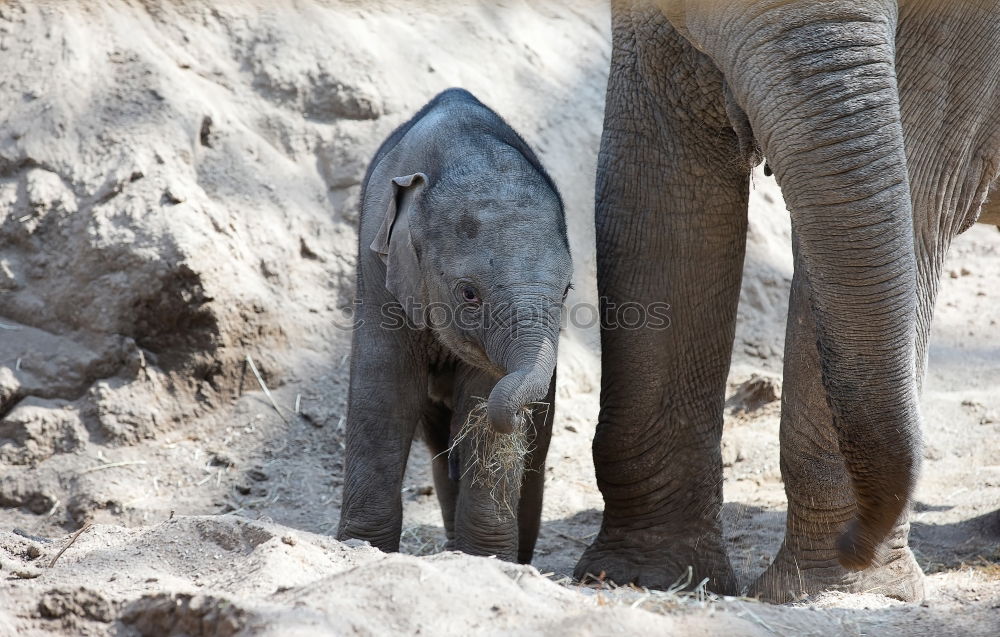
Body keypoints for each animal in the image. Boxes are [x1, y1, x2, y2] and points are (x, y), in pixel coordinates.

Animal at [336, 88, 572, 560]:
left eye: (567, 293)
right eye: (468, 294)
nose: (515, 419)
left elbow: (479, 394)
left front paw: (484, 558)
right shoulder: (377, 270)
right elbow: (383, 390)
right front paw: (362, 546)